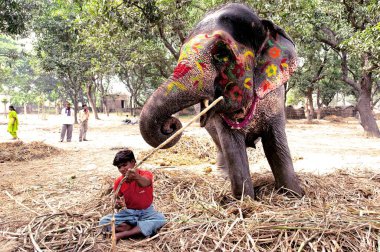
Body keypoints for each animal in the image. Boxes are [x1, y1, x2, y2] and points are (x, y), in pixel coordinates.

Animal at [139, 2, 302, 199]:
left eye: (222, 54)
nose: (170, 125)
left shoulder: (276, 99)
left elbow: (276, 144)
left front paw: (293, 195)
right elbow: (232, 147)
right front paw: (244, 200)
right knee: (220, 145)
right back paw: (222, 174)